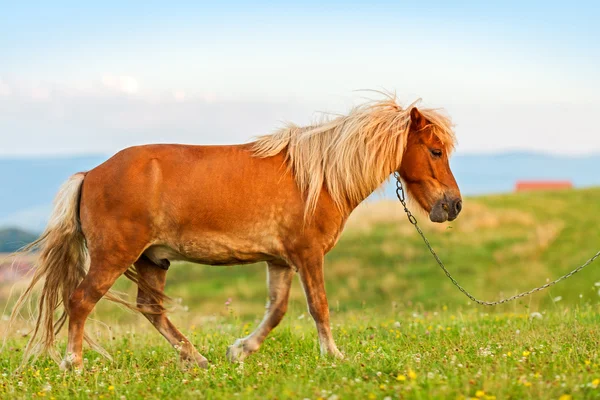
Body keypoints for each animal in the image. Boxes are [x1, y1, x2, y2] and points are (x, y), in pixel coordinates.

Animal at [8, 94, 460, 368]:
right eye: (435, 151)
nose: (452, 205)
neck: (317, 178)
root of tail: (90, 174)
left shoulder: (281, 261)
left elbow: (277, 311)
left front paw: (240, 350)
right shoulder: (307, 255)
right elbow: (319, 307)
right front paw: (333, 355)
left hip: (153, 260)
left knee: (150, 309)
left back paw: (196, 360)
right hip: (114, 255)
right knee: (81, 300)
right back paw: (74, 364)